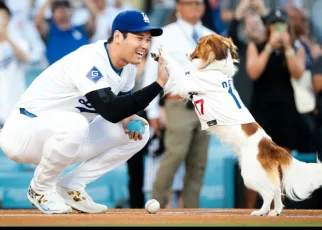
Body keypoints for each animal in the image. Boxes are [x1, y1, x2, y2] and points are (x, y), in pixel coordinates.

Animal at [152, 33, 322, 216]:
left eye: (198, 44)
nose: (187, 54)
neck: (215, 69)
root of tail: (271, 146)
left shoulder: (186, 81)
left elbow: (175, 67)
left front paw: (162, 52)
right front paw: (156, 55)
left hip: (250, 174)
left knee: (268, 192)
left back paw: (260, 212)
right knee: (276, 189)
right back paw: (275, 212)